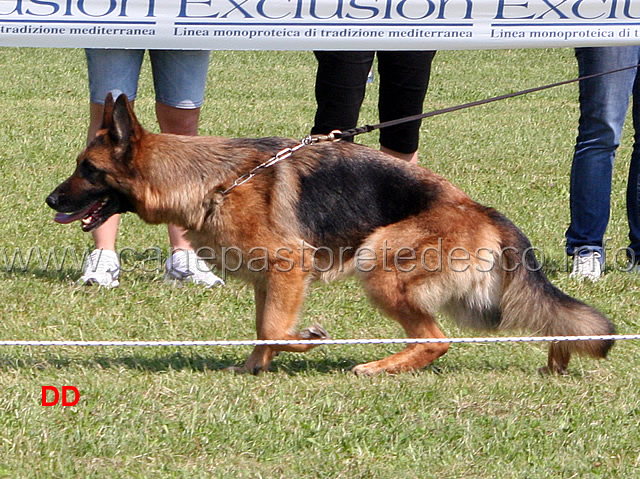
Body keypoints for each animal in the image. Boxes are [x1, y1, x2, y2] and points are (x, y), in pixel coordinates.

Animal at [46, 94, 616, 376]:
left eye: (87, 170)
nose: (50, 201)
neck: (214, 180)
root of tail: (483, 211)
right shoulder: (268, 281)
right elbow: (262, 331)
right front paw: (252, 369)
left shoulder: (288, 267)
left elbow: (274, 330)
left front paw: (307, 340)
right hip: (466, 297)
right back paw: (557, 358)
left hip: (379, 263)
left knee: (436, 340)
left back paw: (379, 367)